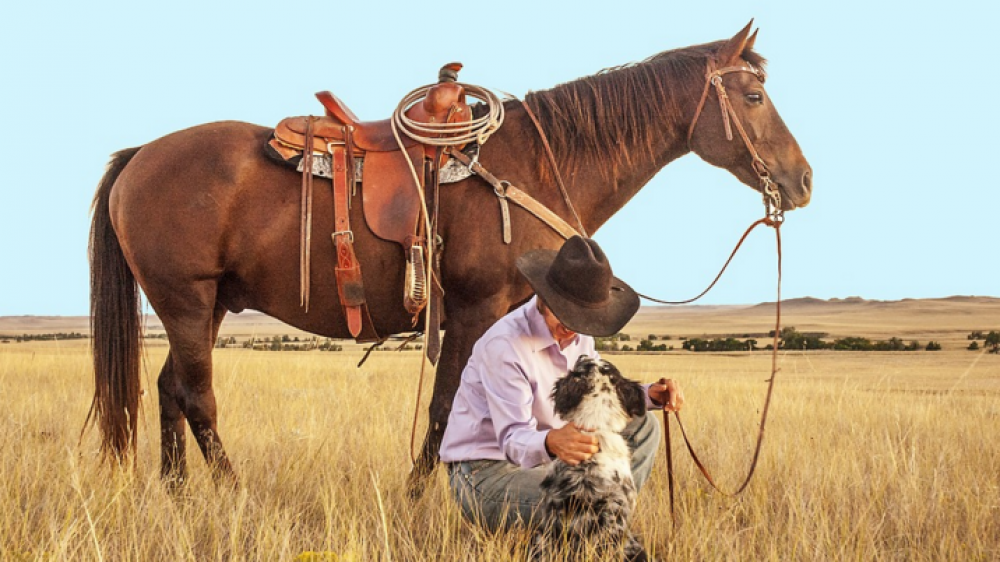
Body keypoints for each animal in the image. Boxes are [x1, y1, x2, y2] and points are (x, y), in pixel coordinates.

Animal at [87, 21, 812, 491]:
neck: (534, 165)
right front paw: (419, 496)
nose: (802, 181)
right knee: (198, 396)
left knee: (170, 390)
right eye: (752, 97)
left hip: (204, 306)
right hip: (185, 300)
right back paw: (230, 490)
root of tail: (140, 155)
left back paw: (178, 493)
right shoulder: (472, 307)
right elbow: (445, 405)